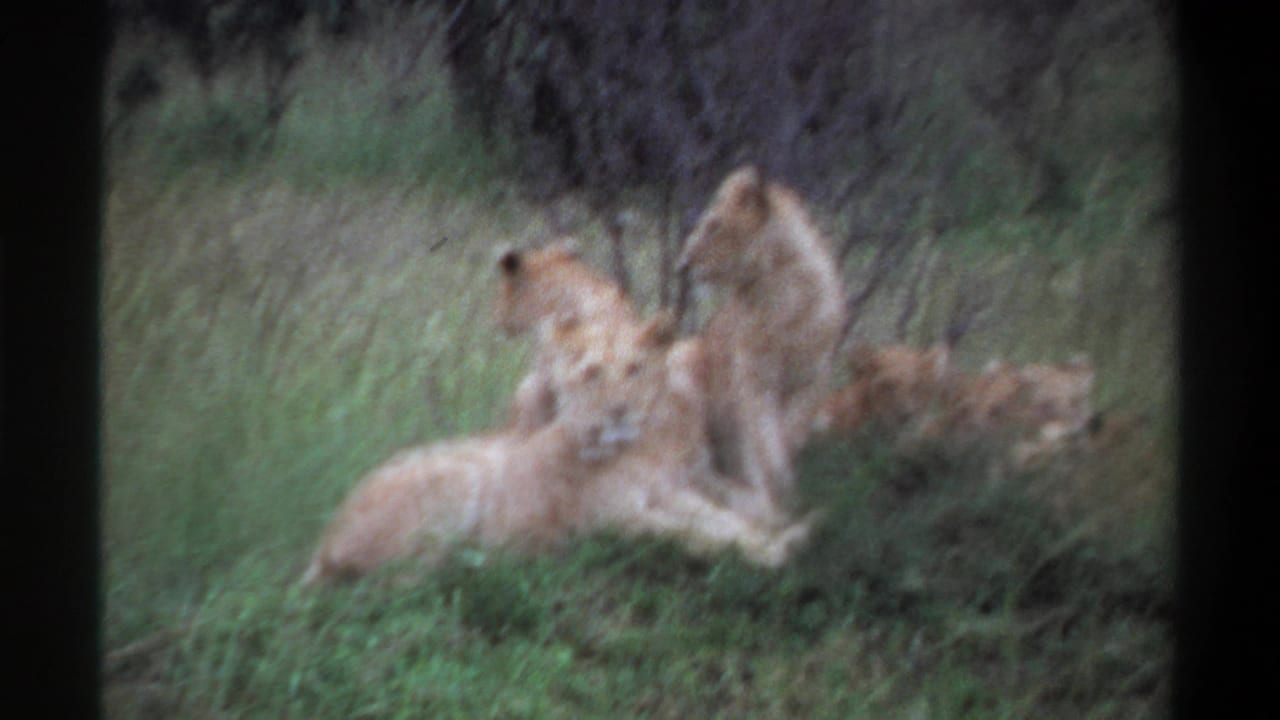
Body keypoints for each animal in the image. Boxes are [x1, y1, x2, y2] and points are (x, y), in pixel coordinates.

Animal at [301, 311, 811, 586]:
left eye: (635, 369)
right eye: (592, 373)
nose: (619, 410)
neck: (647, 443)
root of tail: (324, 543)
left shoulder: (674, 493)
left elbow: (725, 523)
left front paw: (782, 539)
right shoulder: (615, 518)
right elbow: (693, 536)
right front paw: (774, 549)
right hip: (456, 479)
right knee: (401, 577)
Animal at [676, 165, 847, 524]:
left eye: (714, 225)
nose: (681, 265)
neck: (780, 292)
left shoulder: (814, 377)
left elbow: (790, 434)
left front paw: (787, 489)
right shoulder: (754, 380)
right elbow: (765, 445)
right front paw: (775, 495)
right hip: (684, 358)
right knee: (694, 461)